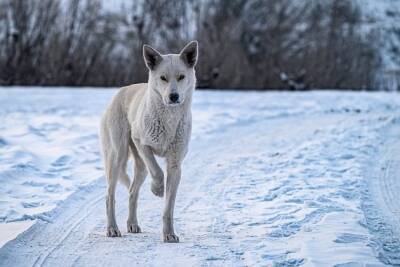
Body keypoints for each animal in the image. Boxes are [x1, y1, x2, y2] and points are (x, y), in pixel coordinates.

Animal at [100, 41, 198, 243]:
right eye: (163, 78)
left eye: (181, 77)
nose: (174, 97)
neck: (169, 119)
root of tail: (118, 93)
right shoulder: (141, 143)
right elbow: (158, 172)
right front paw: (157, 189)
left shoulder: (175, 165)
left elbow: (168, 208)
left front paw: (169, 234)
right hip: (117, 157)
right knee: (109, 196)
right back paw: (112, 229)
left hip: (140, 168)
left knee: (132, 191)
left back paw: (132, 224)